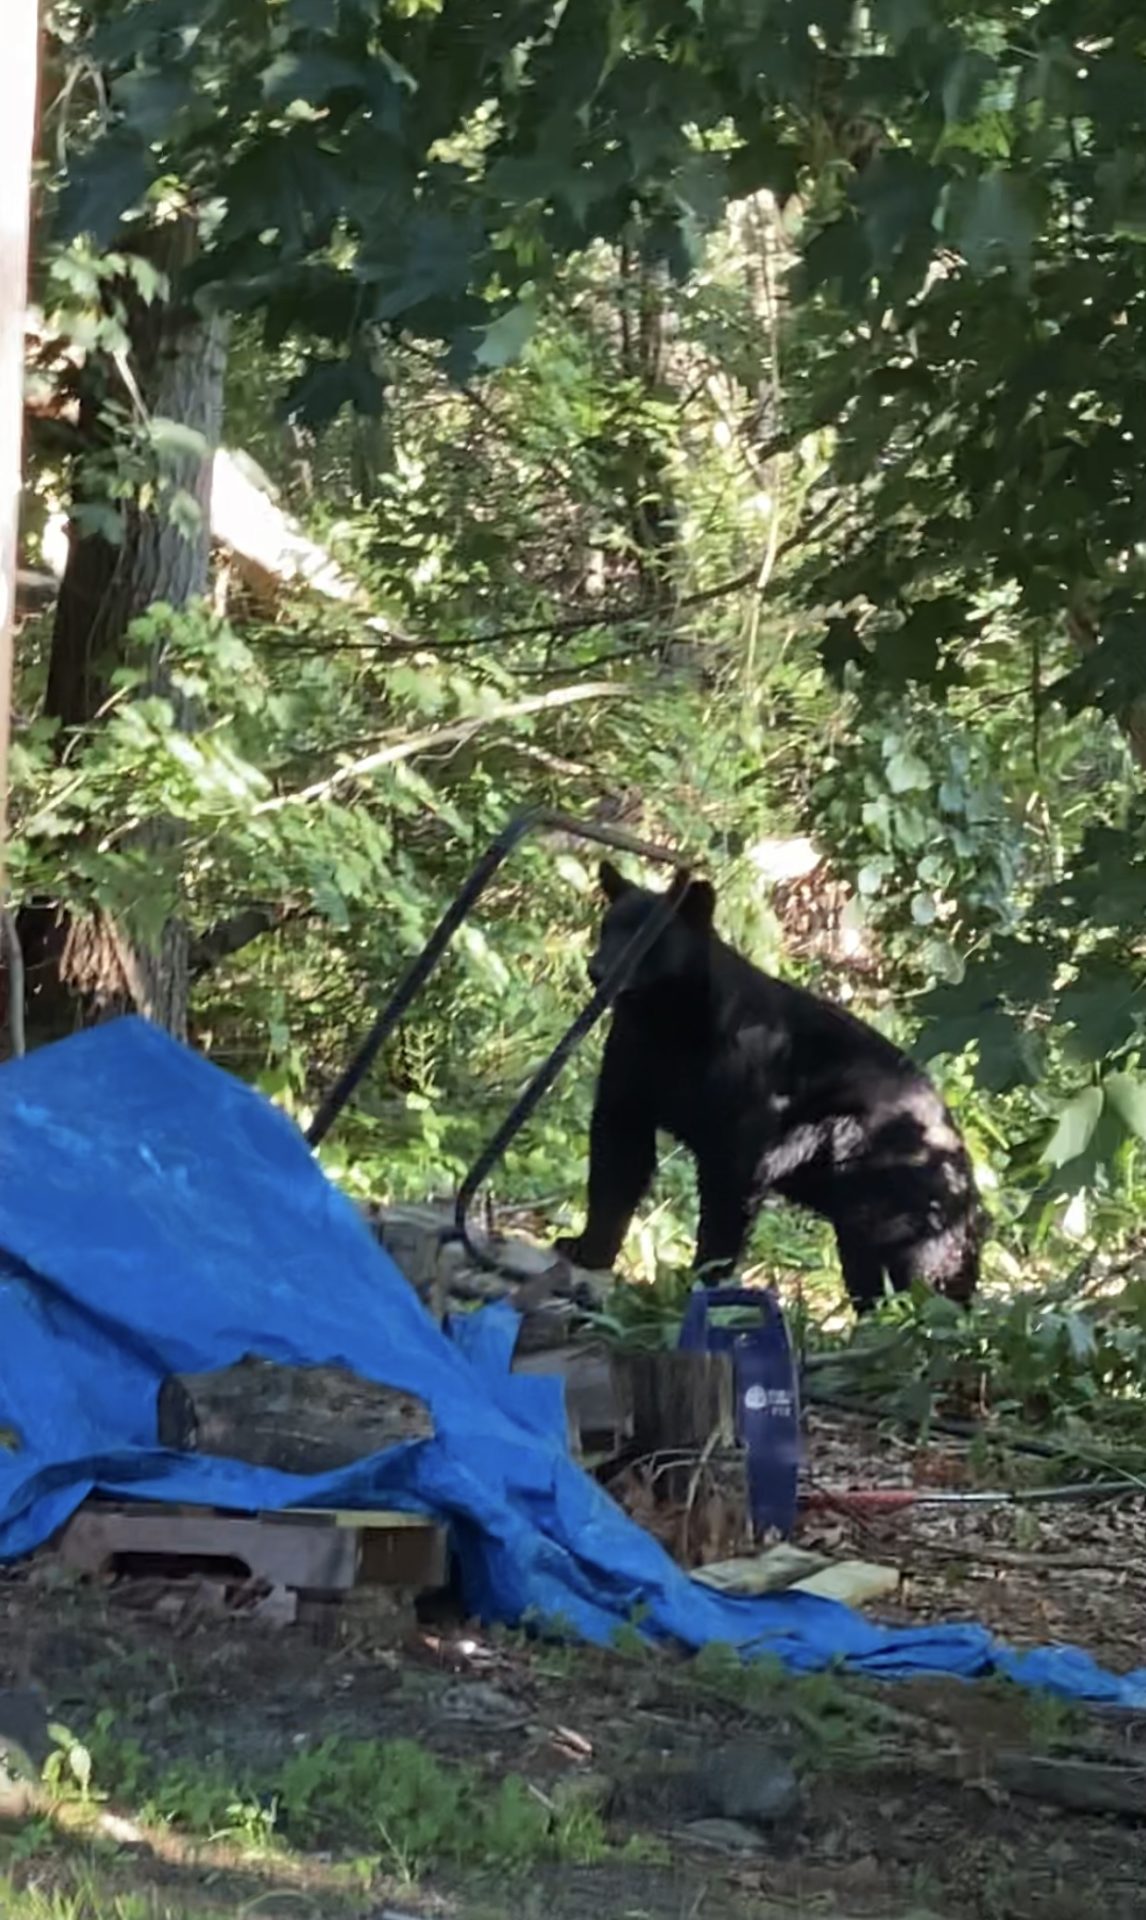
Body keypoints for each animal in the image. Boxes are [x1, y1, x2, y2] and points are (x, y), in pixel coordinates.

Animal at [552, 864, 982, 1313]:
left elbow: (729, 1196)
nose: (598, 970)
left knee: (902, 1271)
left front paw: (702, 1283)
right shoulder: (632, 1068)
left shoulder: (747, 1101)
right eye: (608, 926)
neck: (671, 1024)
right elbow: (618, 1163)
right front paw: (586, 1248)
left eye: (647, 939)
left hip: (888, 1190)